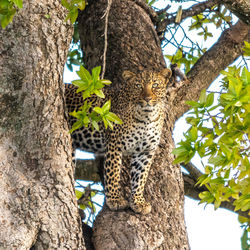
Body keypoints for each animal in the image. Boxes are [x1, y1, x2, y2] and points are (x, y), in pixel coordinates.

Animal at [64, 68, 172, 215]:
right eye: (138, 86)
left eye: (155, 85)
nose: (147, 98)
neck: (147, 117)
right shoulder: (115, 144)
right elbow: (113, 173)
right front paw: (115, 200)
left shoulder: (146, 151)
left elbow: (140, 177)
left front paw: (138, 202)